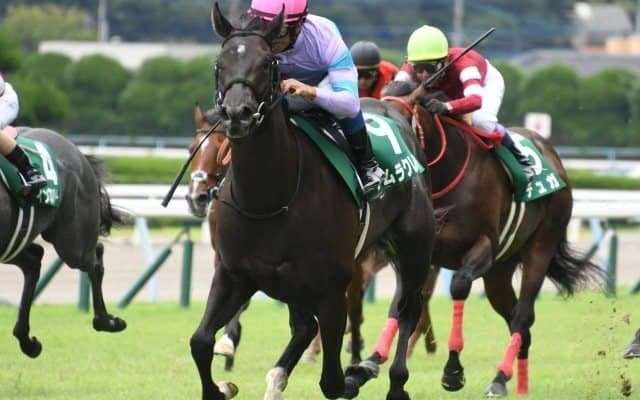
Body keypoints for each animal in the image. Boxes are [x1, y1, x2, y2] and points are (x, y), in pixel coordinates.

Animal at [1, 127, 126, 358]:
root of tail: (76, 151)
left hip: (73, 244)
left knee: (95, 257)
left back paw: (106, 321)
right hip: (11, 243)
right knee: (34, 259)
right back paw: (27, 341)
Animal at [189, 5, 435, 400]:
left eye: (267, 63)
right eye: (219, 62)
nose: (238, 113)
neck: (269, 197)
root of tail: (397, 110)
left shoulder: (331, 286)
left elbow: (332, 381)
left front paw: (355, 373)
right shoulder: (232, 273)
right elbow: (200, 341)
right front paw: (223, 385)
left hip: (414, 248)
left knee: (407, 308)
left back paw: (392, 379)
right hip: (294, 285)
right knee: (304, 327)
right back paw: (278, 378)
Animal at [352, 80, 603, 397]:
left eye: (398, 117)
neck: (445, 173)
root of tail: (552, 154)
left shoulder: (482, 247)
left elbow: (458, 286)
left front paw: (453, 370)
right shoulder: (415, 254)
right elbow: (400, 303)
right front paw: (368, 364)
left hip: (541, 246)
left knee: (522, 315)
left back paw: (499, 379)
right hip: (500, 271)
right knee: (518, 320)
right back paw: (518, 383)